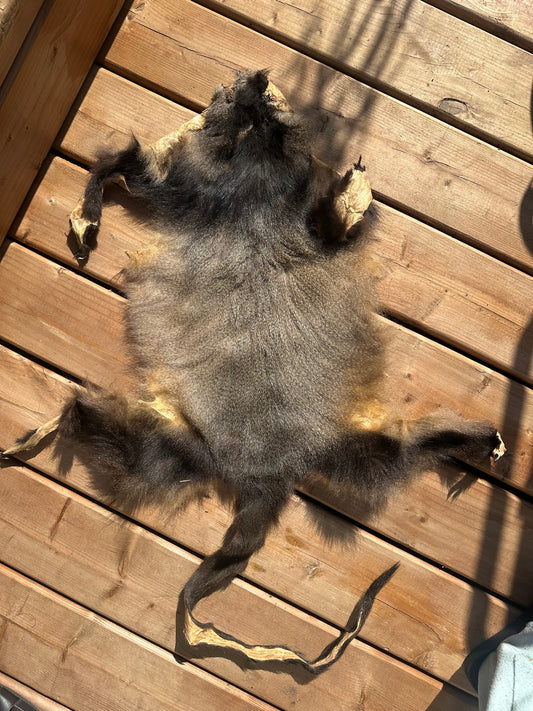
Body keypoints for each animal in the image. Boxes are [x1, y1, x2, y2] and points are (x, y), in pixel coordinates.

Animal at [3, 70, 505, 673]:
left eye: (265, 102)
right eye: (237, 98)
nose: (257, 80)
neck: (254, 178)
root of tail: (268, 476)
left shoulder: (280, 208)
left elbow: (330, 223)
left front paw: (354, 192)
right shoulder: (187, 189)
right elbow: (118, 165)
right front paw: (86, 222)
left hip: (343, 447)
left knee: (405, 447)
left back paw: (482, 441)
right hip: (183, 445)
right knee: (97, 423)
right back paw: (53, 423)